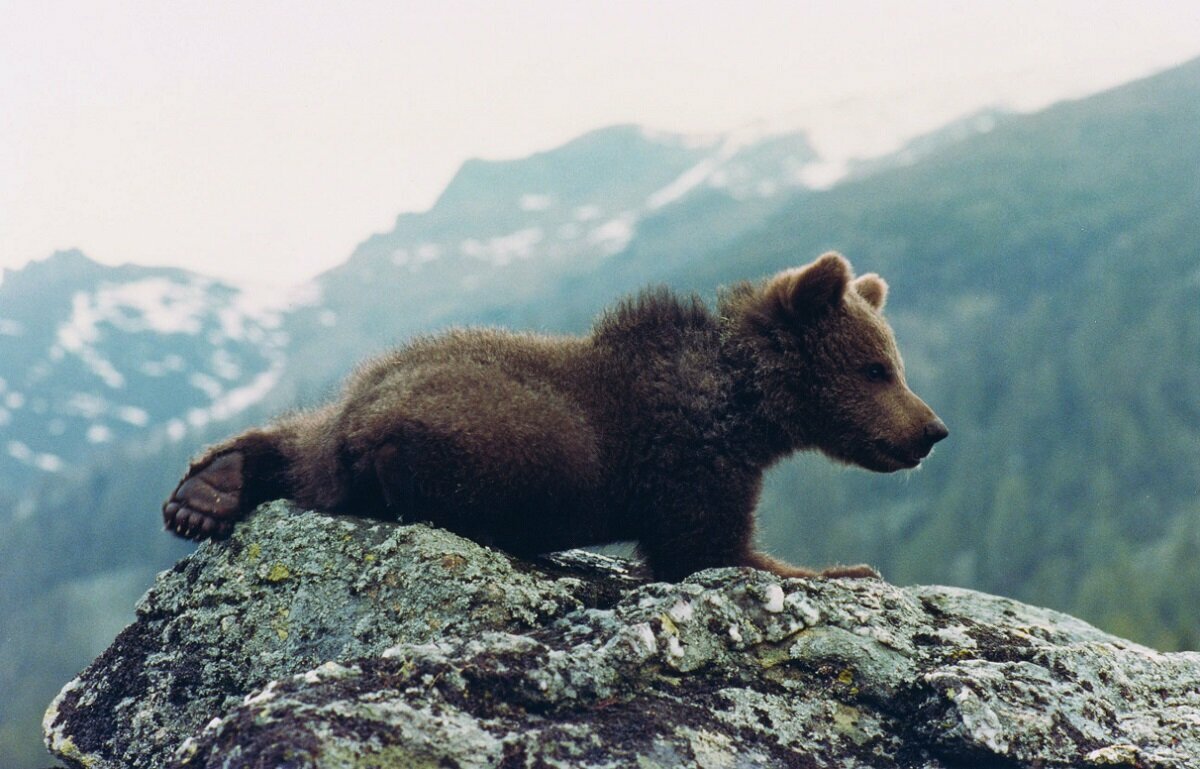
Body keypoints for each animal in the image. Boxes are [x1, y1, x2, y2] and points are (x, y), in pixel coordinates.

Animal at [163, 251, 947, 581]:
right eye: (875, 368)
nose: (932, 430)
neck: (745, 406)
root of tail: (360, 419)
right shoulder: (688, 456)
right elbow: (706, 547)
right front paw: (845, 568)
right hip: (531, 437)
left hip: (364, 392)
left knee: (303, 433)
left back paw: (207, 492)